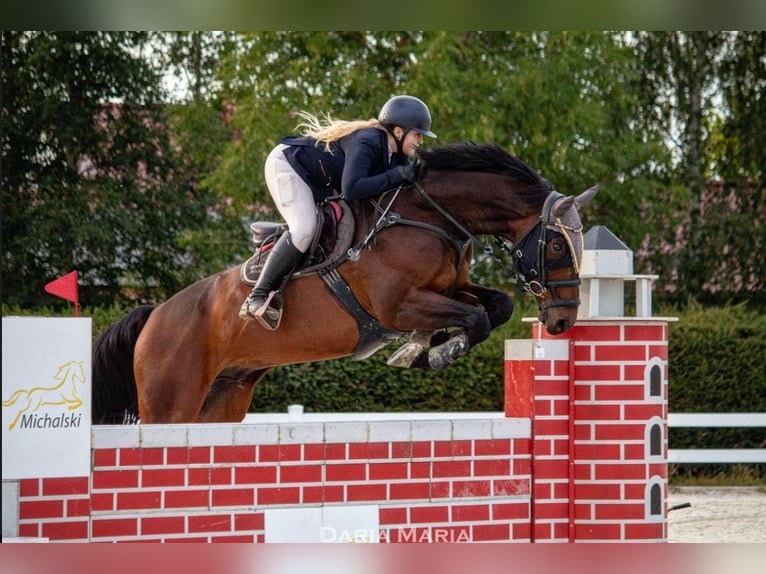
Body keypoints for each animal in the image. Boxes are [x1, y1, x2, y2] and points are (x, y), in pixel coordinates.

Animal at [93, 142, 600, 426]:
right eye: (558, 245)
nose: (562, 321)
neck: (427, 214)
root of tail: (154, 314)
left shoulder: (447, 289)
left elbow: (495, 306)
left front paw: (424, 347)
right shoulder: (398, 306)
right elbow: (474, 317)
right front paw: (431, 351)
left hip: (222, 399)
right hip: (170, 403)